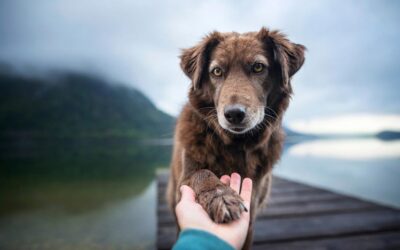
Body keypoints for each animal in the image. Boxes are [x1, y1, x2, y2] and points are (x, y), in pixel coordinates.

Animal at [167, 26, 304, 248]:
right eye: (216, 71)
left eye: (258, 67)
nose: (234, 114)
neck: (235, 145)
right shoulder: (186, 176)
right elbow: (202, 173)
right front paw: (221, 196)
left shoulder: (252, 215)